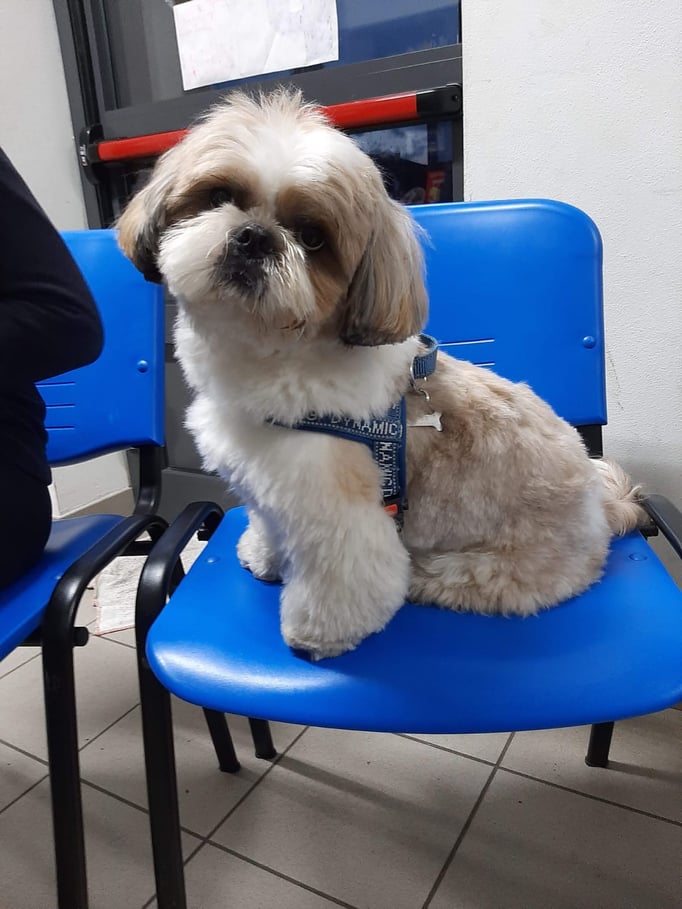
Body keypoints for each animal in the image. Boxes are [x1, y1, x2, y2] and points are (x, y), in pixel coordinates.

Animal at [118, 90, 648, 659]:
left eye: (312, 237)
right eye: (219, 195)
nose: (254, 236)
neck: (273, 353)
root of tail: (604, 508)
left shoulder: (337, 510)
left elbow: (341, 580)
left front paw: (316, 636)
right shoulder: (273, 486)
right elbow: (271, 526)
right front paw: (265, 557)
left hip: (488, 569)